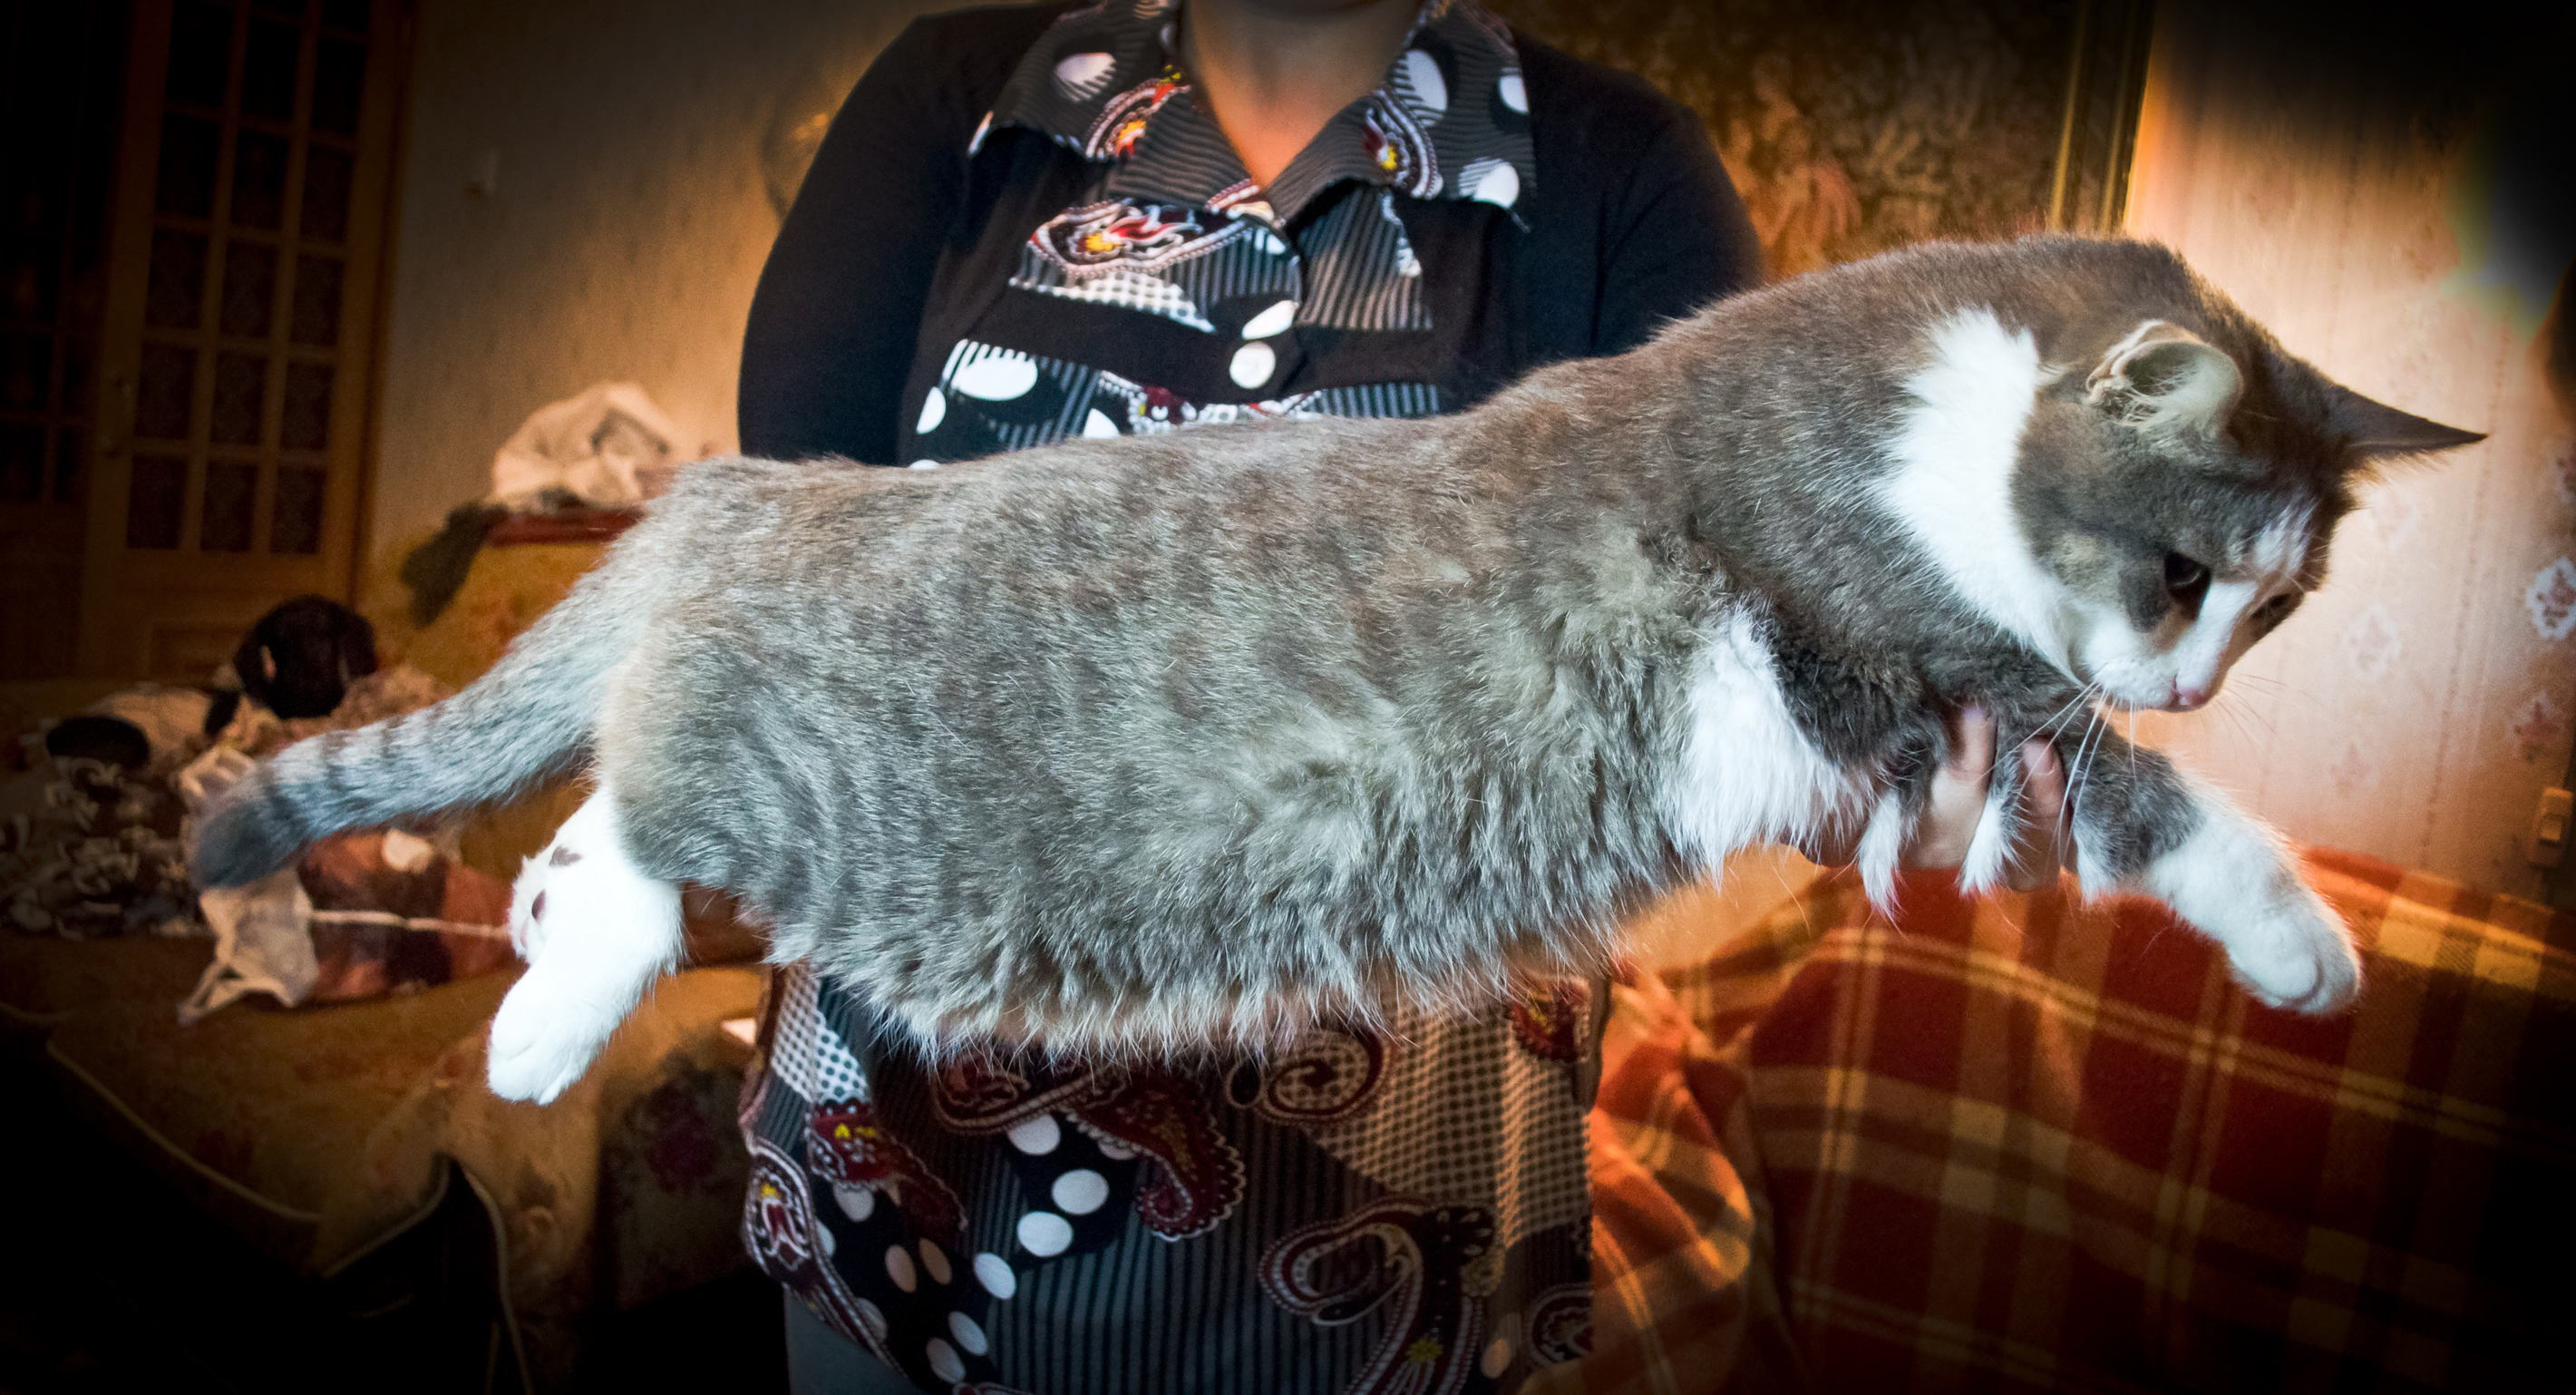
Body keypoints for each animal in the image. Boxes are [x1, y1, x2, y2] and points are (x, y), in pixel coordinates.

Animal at [189, 236, 2480, 1104]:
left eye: (2278, 610)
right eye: (2181, 573)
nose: (2201, 678)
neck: (1934, 390)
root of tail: (731, 495)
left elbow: (2122, 795)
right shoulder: (1897, 646)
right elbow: (2133, 792)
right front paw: (2300, 938)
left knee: (580, 836)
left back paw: (528, 997)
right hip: (810, 779)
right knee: (637, 826)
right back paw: (544, 1019)